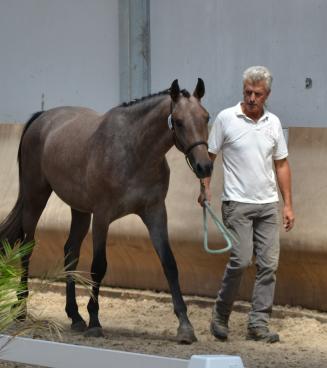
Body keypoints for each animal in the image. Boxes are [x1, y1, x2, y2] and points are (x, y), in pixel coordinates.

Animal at [0, 79, 213, 344]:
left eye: (206, 117)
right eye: (179, 121)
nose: (204, 166)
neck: (134, 151)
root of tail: (42, 117)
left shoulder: (155, 213)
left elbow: (170, 264)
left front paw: (185, 326)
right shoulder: (102, 216)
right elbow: (99, 266)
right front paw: (95, 321)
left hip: (79, 210)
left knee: (70, 252)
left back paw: (75, 316)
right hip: (35, 198)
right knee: (27, 248)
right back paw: (21, 310)